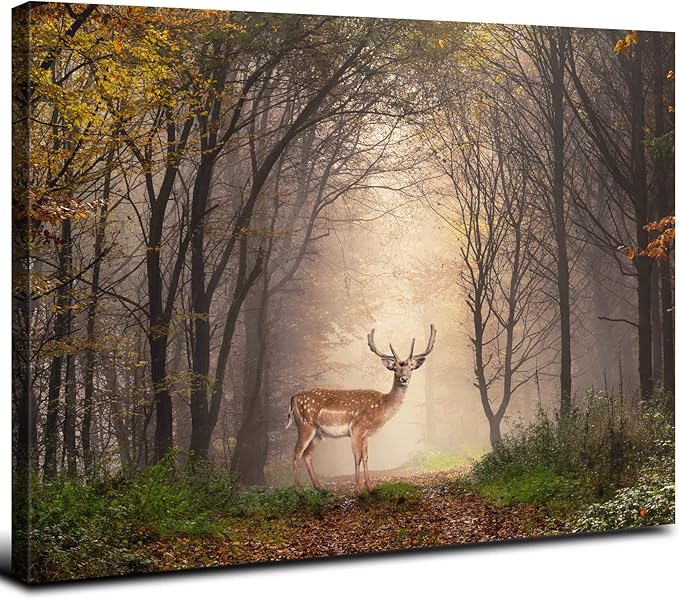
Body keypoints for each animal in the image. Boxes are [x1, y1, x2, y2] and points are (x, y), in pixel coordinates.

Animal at [285, 324, 436, 494]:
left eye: (411, 367)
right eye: (395, 368)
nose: (404, 379)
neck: (380, 408)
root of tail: (293, 398)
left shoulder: (365, 434)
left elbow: (366, 457)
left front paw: (370, 488)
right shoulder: (356, 427)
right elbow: (357, 457)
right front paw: (358, 490)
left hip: (317, 432)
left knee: (307, 454)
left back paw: (320, 488)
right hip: (305, 425)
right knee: (296, 452)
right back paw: (298, 492)